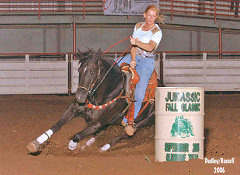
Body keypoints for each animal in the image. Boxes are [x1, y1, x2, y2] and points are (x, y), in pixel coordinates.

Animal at [25, 49, 154, 153]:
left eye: (92, 72)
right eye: (79, 69)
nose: (80, 97)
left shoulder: (97, 123)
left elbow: (77, 135)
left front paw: (72, 145)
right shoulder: (72, 110)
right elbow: (57, 125)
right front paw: (36, 142)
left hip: (144, 121)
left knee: (125, 134)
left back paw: (104, 147)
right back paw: (89, 143)